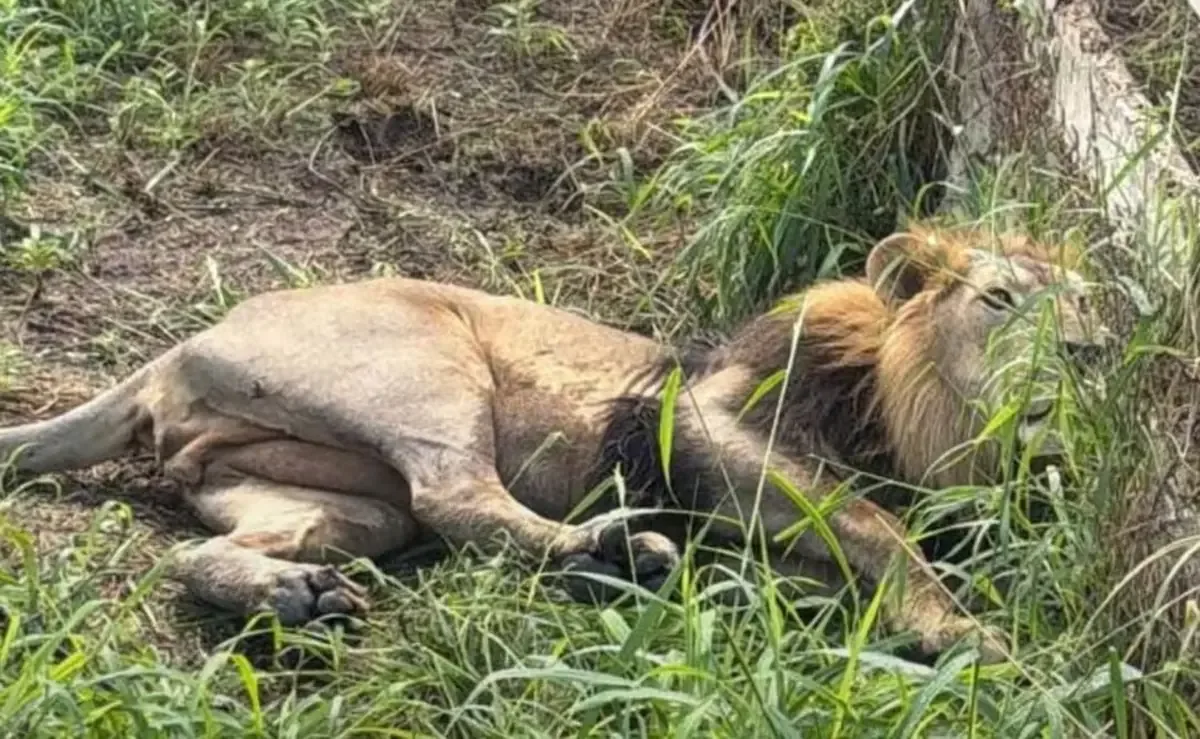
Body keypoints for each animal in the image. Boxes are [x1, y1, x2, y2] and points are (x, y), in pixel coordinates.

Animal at [0, 222, 1108, 664]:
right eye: (999, 298)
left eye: (1095, 306)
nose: (1093, 353)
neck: (938, 423)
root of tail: (178, 348)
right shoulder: (707, 422)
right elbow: (874, 521)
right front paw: (963, 633)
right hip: (431, 369)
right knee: (459, 496)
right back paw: (613, 553)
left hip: (338, 498)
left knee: (201, 553)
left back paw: (296, 596)